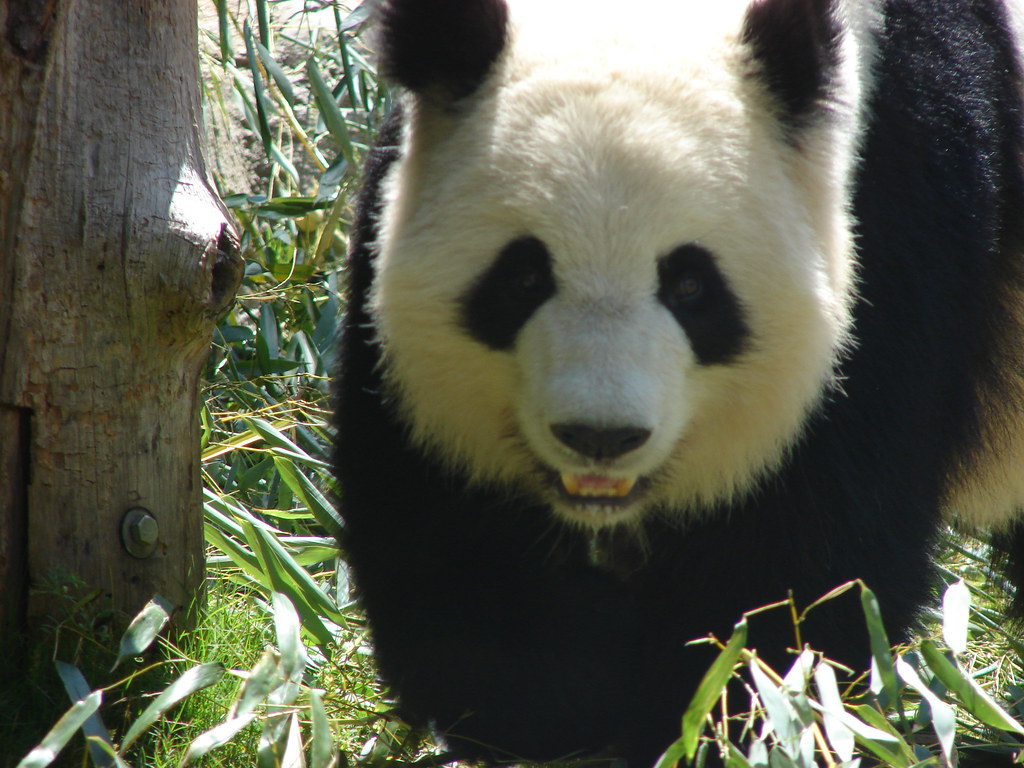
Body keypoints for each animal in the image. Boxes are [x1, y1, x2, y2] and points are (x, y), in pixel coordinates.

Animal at [333, 0, 1024, 764]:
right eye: (523, 276)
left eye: (691, 285)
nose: (599, 437)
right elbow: (447, 547)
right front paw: (568, 693)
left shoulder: (899, 221)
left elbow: (802, 568)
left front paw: (701, 713)